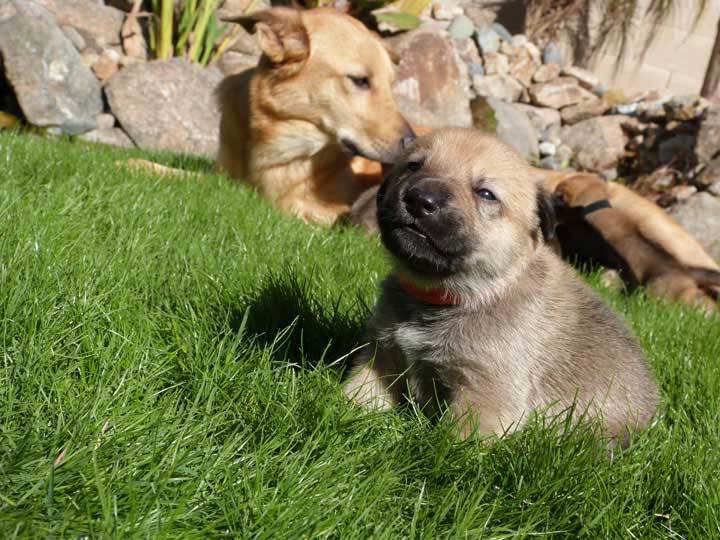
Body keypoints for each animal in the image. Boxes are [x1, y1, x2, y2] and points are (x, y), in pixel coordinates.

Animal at [344, 129, 660, 446]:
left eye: (485, 193)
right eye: (413, 166)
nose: (421, 199)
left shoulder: (485, 389)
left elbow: (454, 442)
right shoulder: (382, 354)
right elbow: (360, 392)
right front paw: (347, 412)